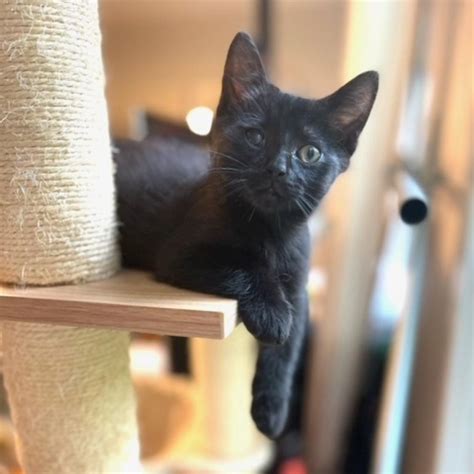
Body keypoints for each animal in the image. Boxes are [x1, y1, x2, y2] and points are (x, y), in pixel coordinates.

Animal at [114, 32, 378, 439]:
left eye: (310, 153)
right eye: (255, 136)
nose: (278, 169)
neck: (269, 231)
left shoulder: (299, 286)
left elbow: (289, 347)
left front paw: (271, 412)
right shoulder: (179, 256)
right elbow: (243, 267)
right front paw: (272, 314)